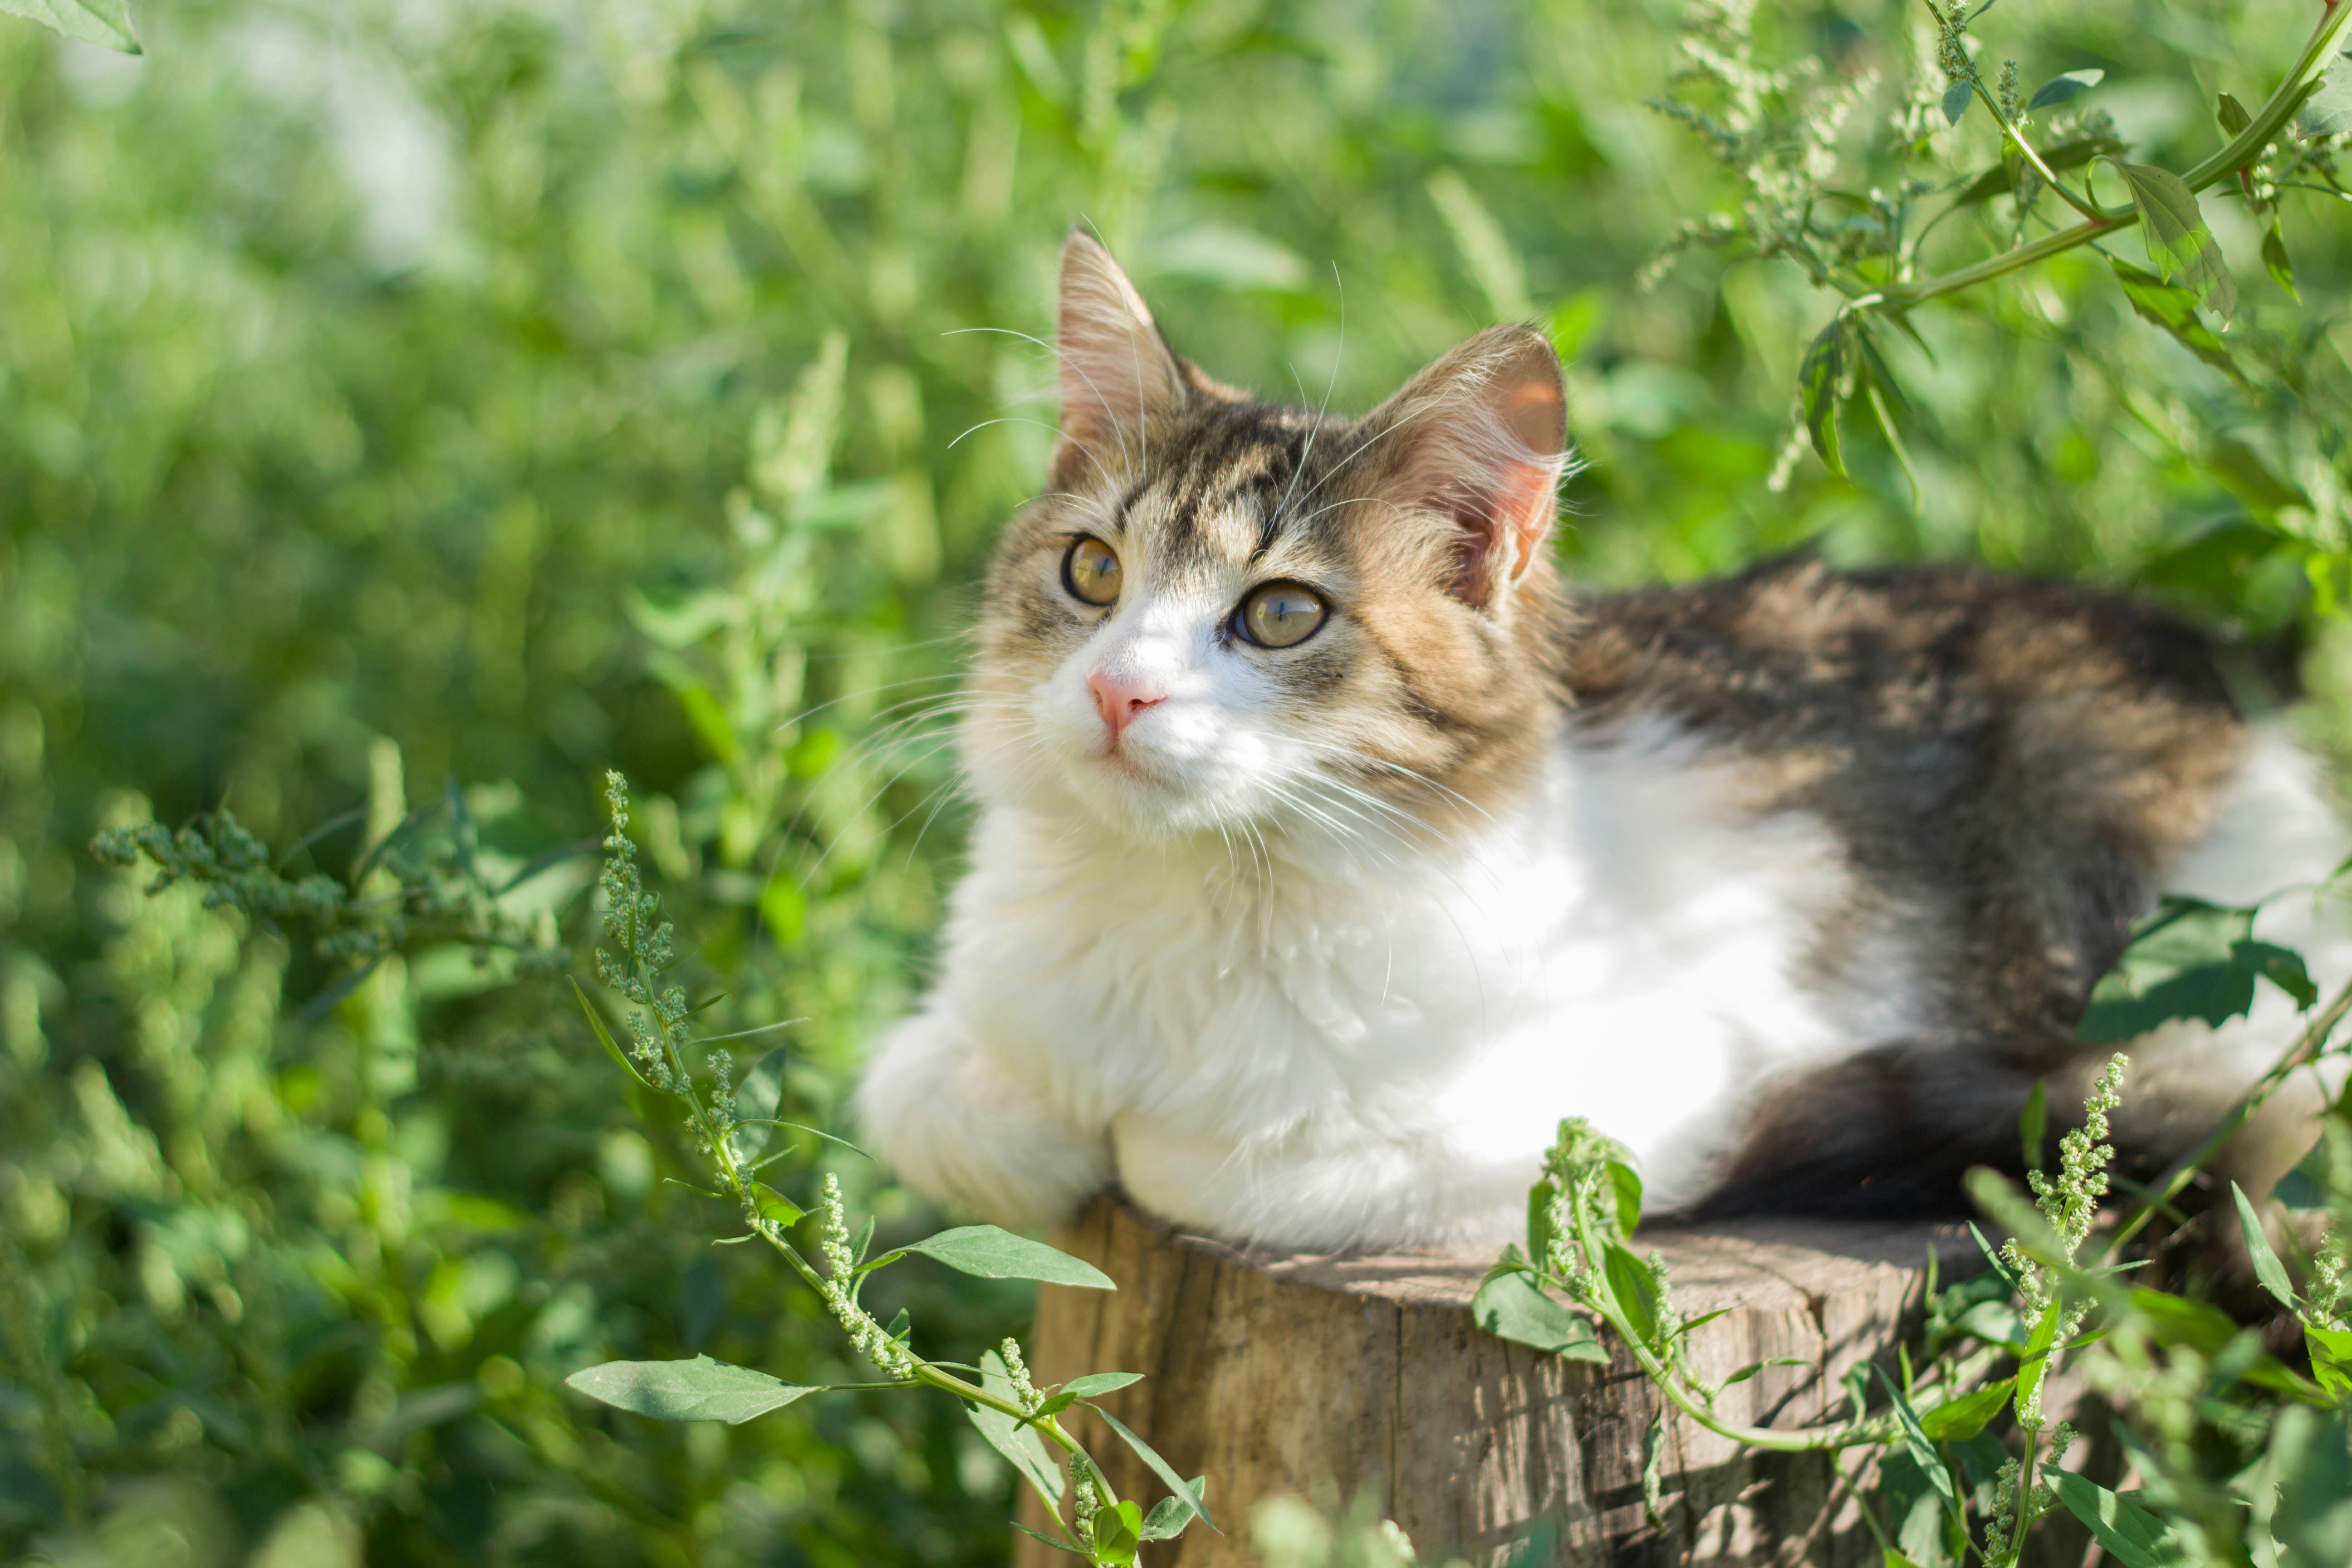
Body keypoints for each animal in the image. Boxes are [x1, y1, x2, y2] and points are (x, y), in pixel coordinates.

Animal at [856, 230, 2342, 1250]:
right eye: (1093, 574)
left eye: (1279, 614)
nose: (1120, 695)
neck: (1184, 901)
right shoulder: (953, 1035)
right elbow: (922, 1094)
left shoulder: (1639, 1110)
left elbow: (1197, 1166)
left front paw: (1117, 1140)